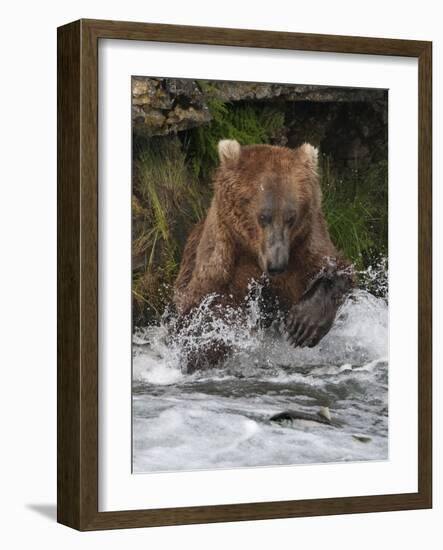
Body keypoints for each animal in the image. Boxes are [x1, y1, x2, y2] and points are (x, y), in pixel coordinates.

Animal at [173, 139, 354, 370]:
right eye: (263, 217)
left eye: (291, 217)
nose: (276, 264)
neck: (254, 253)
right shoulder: (223, 262)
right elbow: (202, 310)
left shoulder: (305, 247)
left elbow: (335, 269)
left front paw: (303, 324)